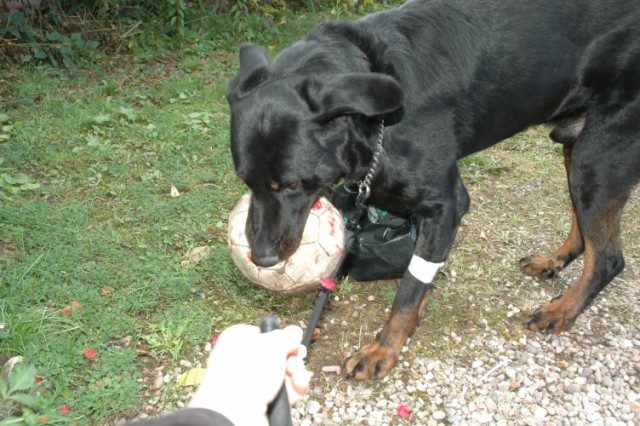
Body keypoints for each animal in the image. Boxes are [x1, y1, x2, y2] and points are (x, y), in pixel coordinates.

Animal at [226, 0, 640, 380]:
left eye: (293, 184)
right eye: (246, 181)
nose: (261, 258)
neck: (377, 116)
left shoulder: (447, 205)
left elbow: (410, 288)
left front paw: (384, 348)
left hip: (597, 156)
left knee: (608, 257)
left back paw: (561, 310)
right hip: (577, 148)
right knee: (584, 229)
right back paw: (554, 261)